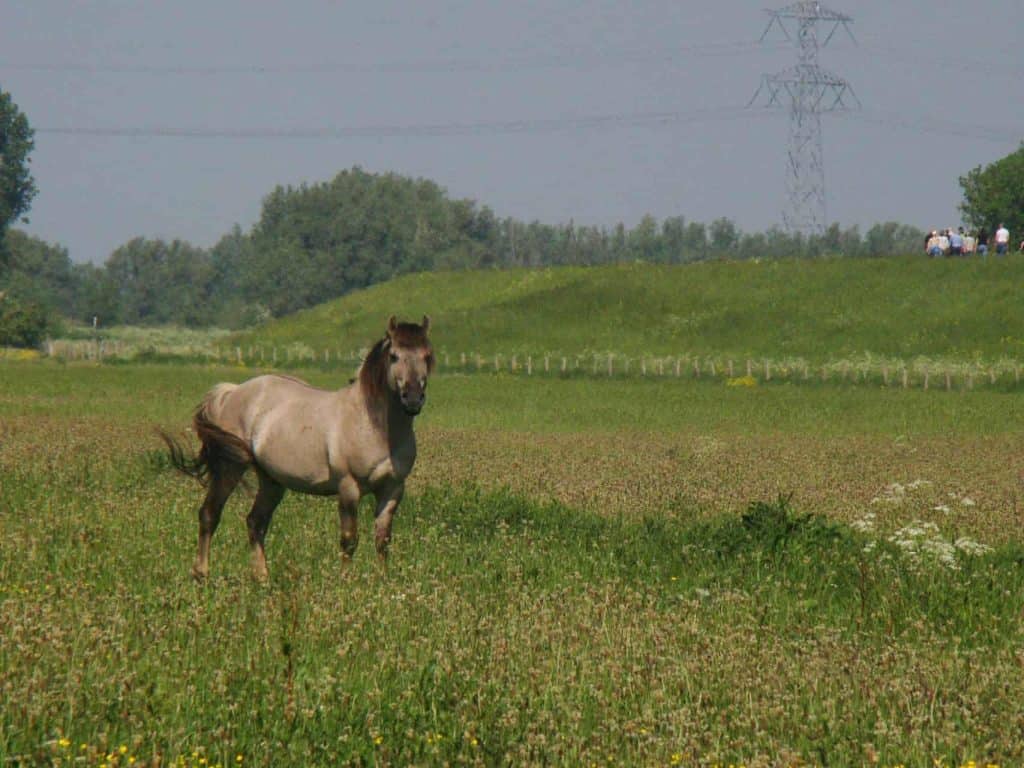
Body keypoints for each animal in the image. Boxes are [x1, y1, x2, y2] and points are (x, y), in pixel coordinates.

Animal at [161, 315, 433, 581]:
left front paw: (383, 583)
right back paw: (201, 575)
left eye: (427, 355)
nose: (412, 399)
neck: (374, 427)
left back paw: (262, 579)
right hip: (231, 466)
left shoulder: (393, 489)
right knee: (210, 514)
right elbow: (349, 540)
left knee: (256, 522)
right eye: (394, 356)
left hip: (271, 480)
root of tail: (232, 392)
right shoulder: (348, 488)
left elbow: (382, 540)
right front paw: (346, 582)